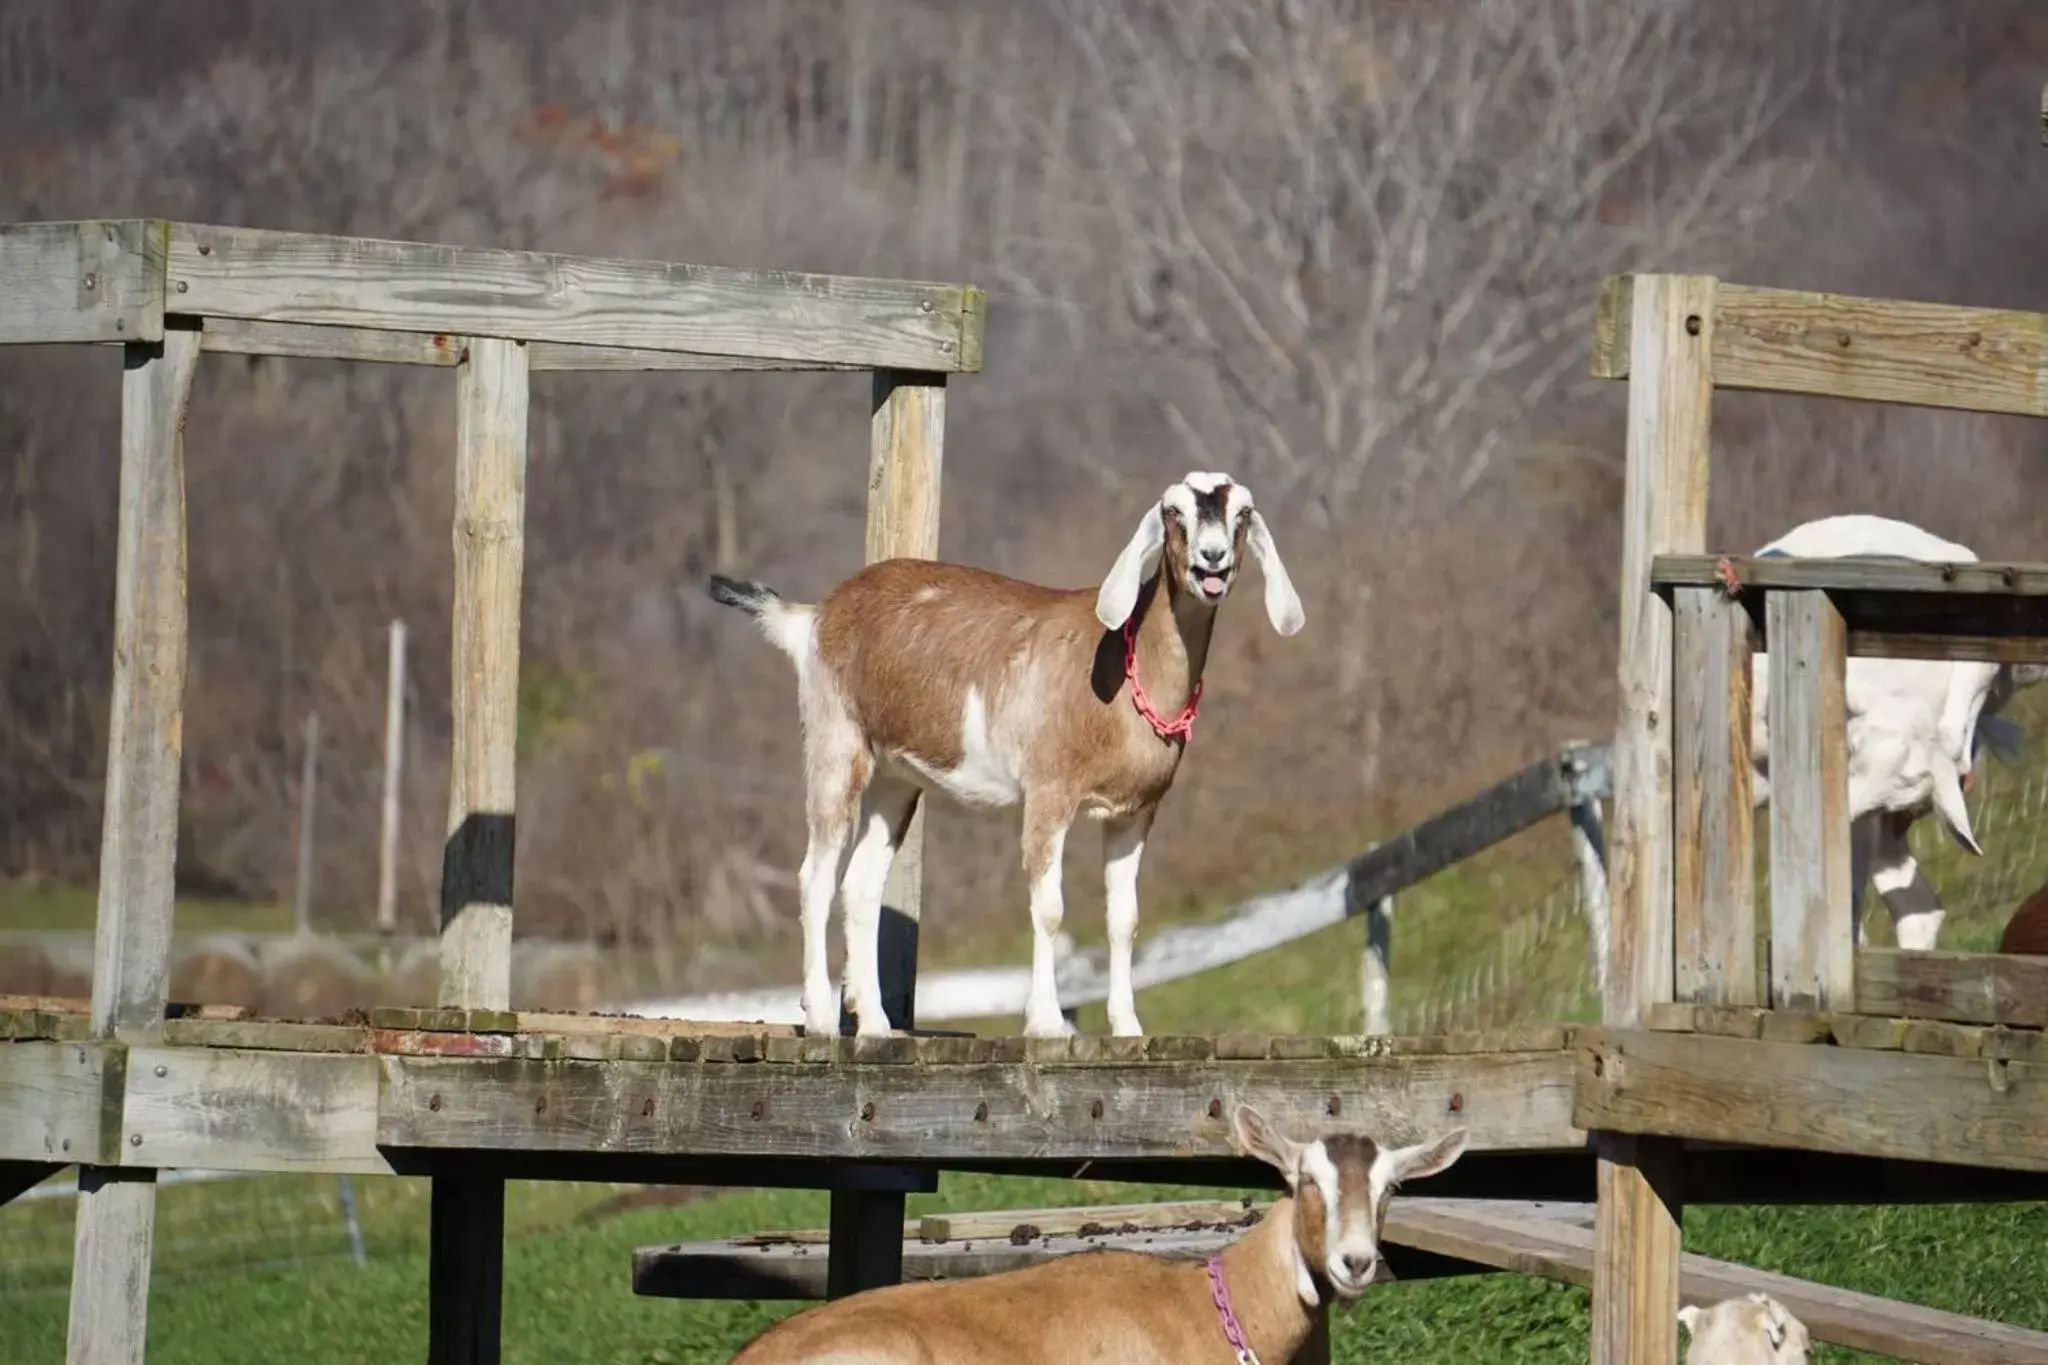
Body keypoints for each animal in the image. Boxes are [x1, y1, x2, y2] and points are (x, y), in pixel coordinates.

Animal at [712, 474, 1302, 1039]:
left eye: (1242, 513)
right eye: (1173, 511)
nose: (1212, 559)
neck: (1119, 668)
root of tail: (814, 617)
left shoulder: (1135, 813)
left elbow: (1124, 919)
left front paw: (1128, 1027)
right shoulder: (1049, 794)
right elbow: (1050, 908)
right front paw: (1046, 1023)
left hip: (894, 777)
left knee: (860, 884)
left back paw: (876, 1024)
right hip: (835, 740)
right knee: (815, 874)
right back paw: (820, 1018)